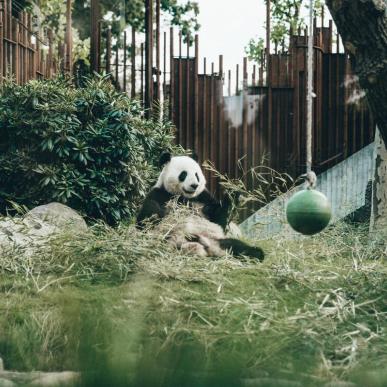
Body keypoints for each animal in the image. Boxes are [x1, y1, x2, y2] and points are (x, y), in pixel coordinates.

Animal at [135, 152, 266, 260]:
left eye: (196, 175)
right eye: (183, 174)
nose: (194, 185)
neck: (184, 197)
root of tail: (207, 249)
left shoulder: (203, 198)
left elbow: (219, 219)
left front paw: (232, 193)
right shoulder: (160, 194)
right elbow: (146, 218)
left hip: (216, 239)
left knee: (235, 246)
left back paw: (256, 253)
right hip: (171, 240)